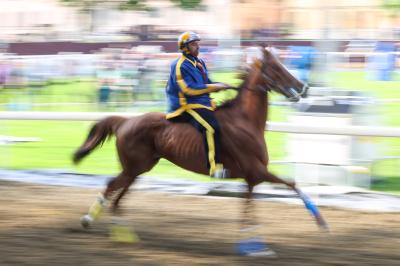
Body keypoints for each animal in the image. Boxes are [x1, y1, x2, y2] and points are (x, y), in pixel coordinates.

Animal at [73, 47, 326, 249]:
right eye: (275, 67)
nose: (304, 87)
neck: (245, 121)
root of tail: (125, 121)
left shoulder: (251, 178)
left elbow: (250, 206)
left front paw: (252, 243)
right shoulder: (257, 171)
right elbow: (291, 184)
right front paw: (321, 221)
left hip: (139, 168)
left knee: (117, 195)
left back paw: (120, 232)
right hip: (134, 167)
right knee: (111, 188)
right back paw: (94, 222)